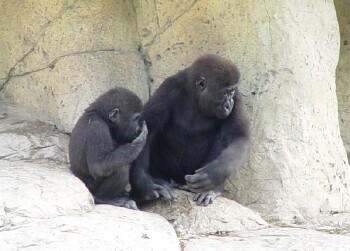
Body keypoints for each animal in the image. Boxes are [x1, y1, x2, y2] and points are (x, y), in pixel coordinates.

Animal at [130, 55, 250, 206]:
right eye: (224, 93)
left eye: (231, 92)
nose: (229, 105)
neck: (196, 95)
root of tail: (180, 181)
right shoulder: (170, 87)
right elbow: (149, 128)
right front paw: (144, 185)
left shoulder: (237, 98)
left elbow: (238, 137)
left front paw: (212, 175)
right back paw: (158, 179)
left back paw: (212, 188)